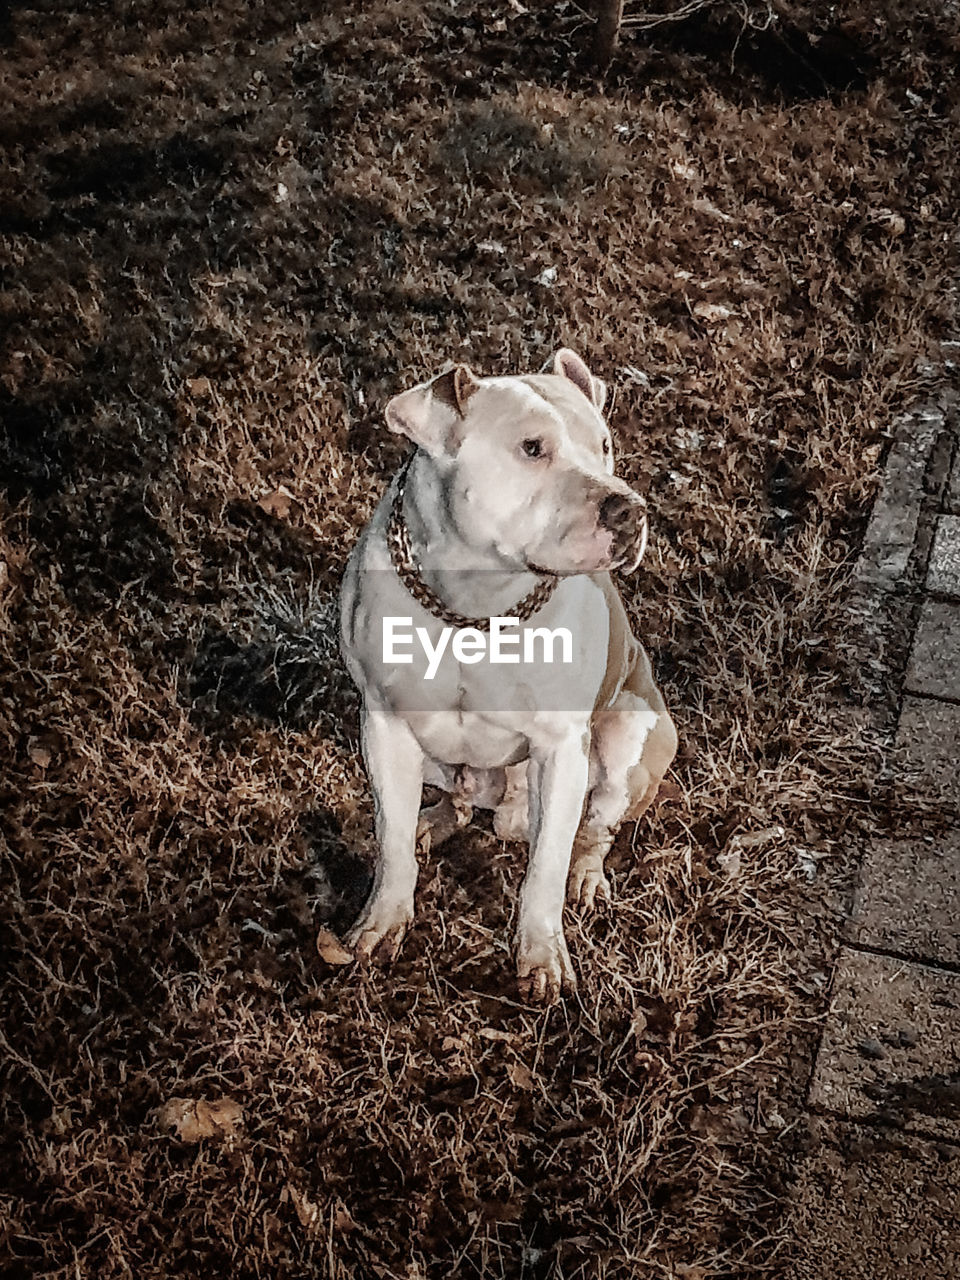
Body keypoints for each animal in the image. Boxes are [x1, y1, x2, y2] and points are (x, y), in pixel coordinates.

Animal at [343, 348, 680, 998]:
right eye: (532, 448)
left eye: (604, 445)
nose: (630, 510)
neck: (475, 604)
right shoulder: (385, 724)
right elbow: (390, 839)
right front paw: (382, 922)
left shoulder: (560, 748)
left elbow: (545, 865)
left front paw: (542, 954)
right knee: (454, 801)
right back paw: (432, 822)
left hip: (632, 733)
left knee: (594, 828)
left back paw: (587, 876)